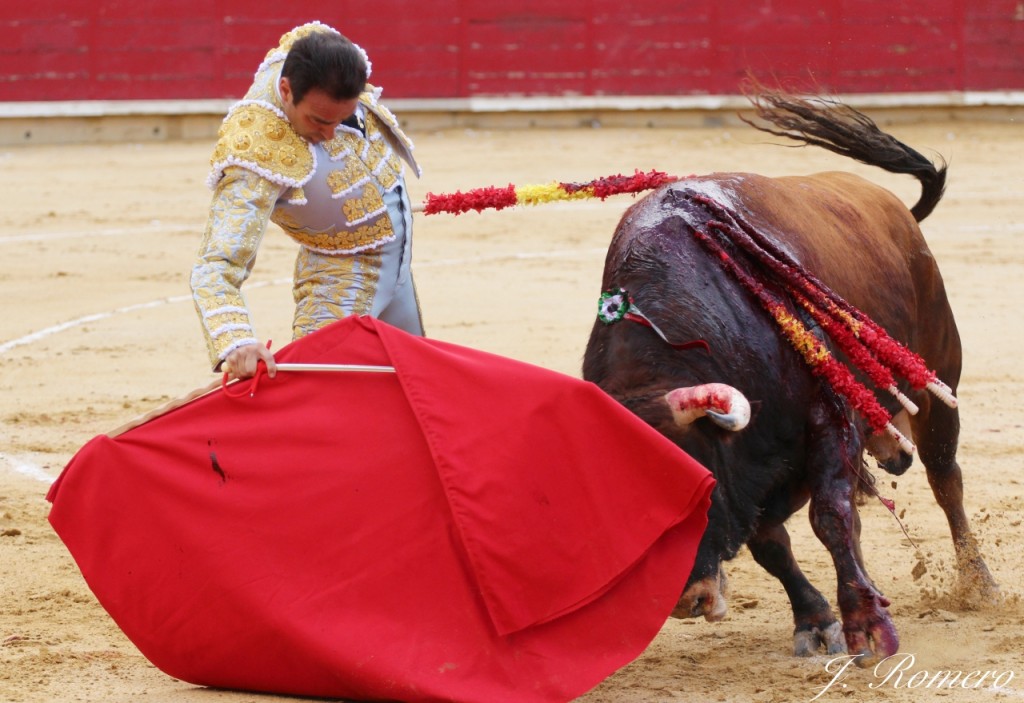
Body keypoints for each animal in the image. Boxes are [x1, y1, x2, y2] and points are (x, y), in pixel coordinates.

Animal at [585, 89, 999, 667]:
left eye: (698, 487)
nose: (685, 601)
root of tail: (897, 211)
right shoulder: (752, 466)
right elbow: (771, 544)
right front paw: (817, 621)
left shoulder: (825, 422)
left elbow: (830, 518)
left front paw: (867, 627)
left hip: (939, 376)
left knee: (945, 478)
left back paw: (978, 583)